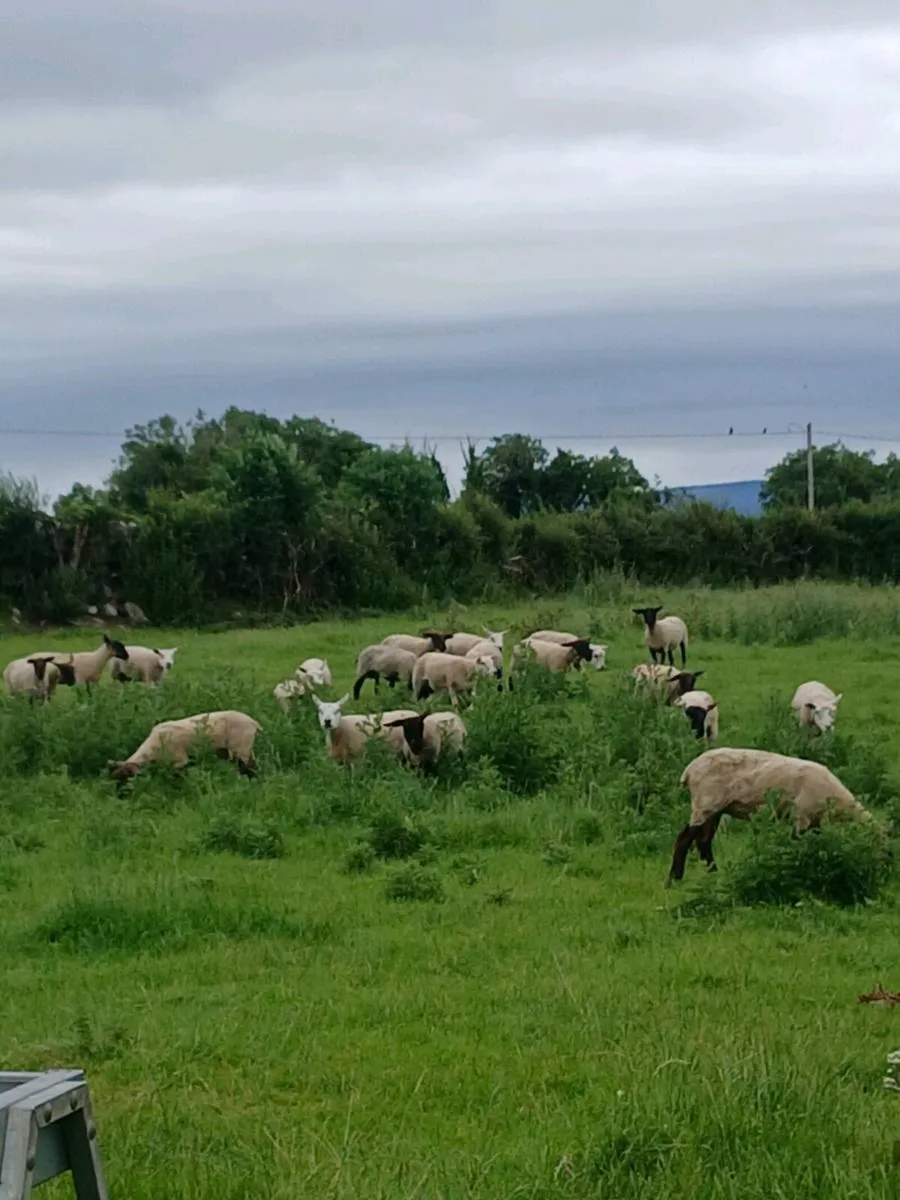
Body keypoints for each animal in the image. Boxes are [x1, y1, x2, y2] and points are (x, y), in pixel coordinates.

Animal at [107, 710, 263, 786]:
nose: (119, 796)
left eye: (127, 778)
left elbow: (177, 775)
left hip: (240, 748)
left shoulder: (180, 760)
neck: (152, 748)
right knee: (253, 767)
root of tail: (254, 723)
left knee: (246, 768)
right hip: (243, 749)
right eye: (115, 778)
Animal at [666, 747, 871, 885]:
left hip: (715, 810)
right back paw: (674, 879)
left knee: (703, 841)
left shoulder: (813, 821)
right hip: (705, 802)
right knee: (684, 839)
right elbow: (797, 843)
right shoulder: (802, 815)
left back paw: (714, 874)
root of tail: (689, 771)